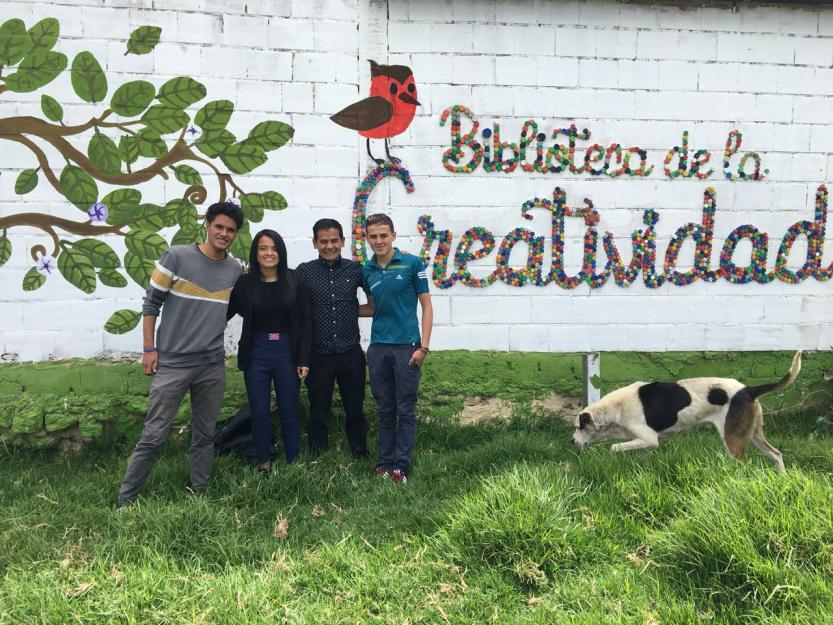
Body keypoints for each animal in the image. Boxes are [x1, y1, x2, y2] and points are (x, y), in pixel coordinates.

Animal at [572, 352, 800, 468]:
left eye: (579, 427)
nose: (572, 441)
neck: (614, 410)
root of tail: (748, 389)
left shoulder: (649, 438)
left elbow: (614, 447)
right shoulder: (647, 443)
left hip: (732, 439)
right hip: (753, 434)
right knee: (777, 454)